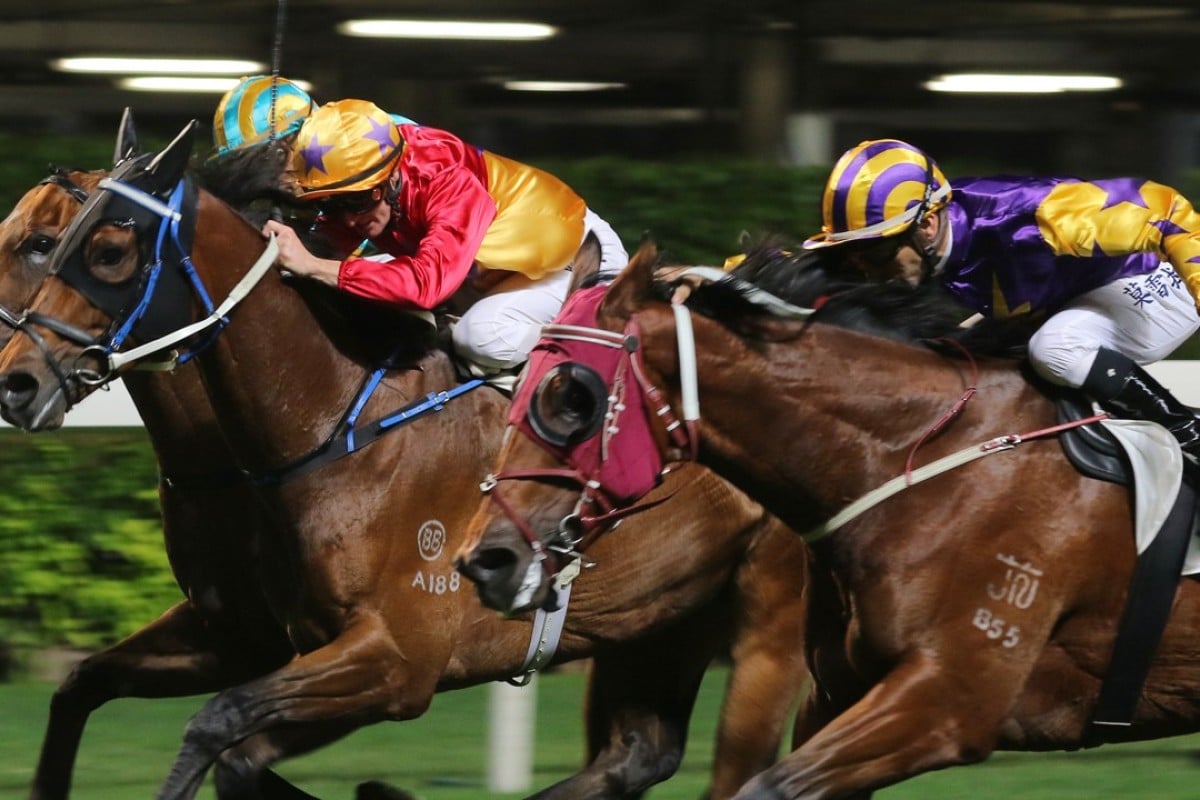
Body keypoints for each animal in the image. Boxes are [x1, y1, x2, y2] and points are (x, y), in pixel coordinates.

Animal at [0, 118, 811, 800]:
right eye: (52, 243)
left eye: (102, 251)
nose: (17, 381)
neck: (333, 425)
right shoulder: (247, 632)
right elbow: (86, 687)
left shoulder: (395, 661)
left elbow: (220, 730)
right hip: (657, 622)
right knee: (638, 754)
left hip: (768, 623)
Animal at [451, 245, 1200, 800]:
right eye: (517, 390)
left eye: (572, 397)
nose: (486, 560)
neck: (920, 461)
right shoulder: (840, 691)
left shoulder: (950, 697)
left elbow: (766, 786)